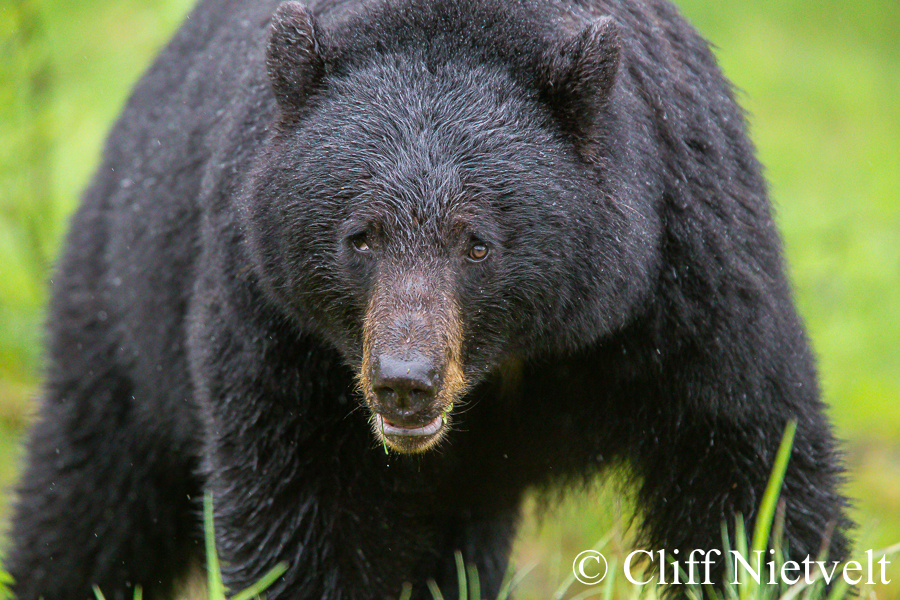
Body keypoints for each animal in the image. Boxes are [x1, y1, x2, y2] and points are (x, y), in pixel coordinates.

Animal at [7, 0, 852, 596]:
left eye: (477, 243)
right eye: (361, 237)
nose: (403, 383)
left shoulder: (692, 281)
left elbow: (744, 469)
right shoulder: (273, 324)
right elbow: (298, 514)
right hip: (125, 307)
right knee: (92, 498)